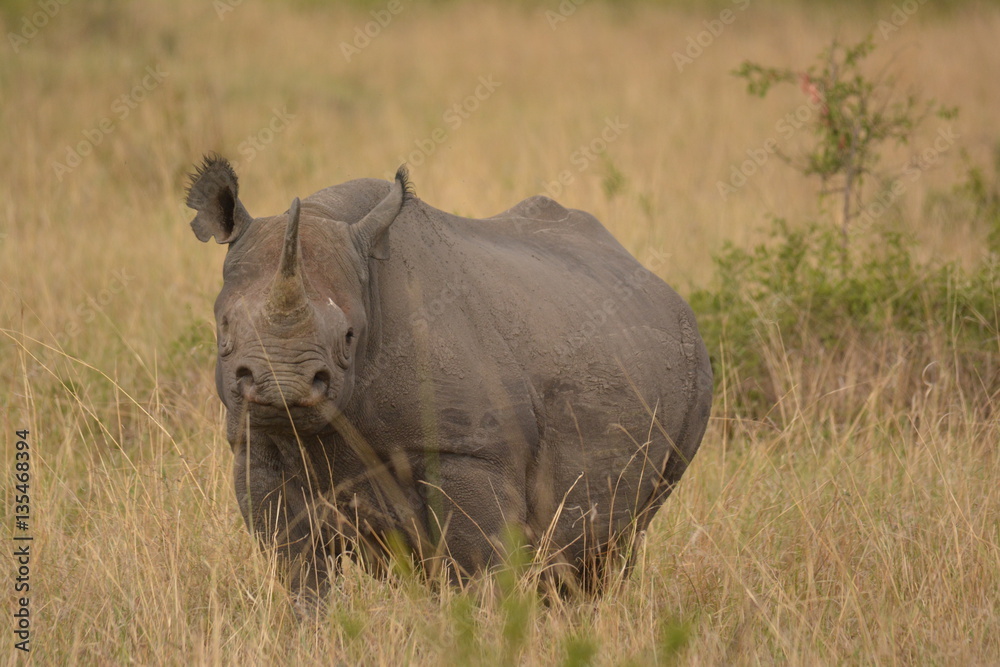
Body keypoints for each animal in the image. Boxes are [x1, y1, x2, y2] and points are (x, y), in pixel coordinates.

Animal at [186, 155, 712, 599]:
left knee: (621, 538)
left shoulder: (471, 451)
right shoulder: (256, 446)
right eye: (224, 329)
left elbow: (476, 569)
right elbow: (299, 573)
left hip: (695, 374)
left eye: (350, 337)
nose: (283, 386)